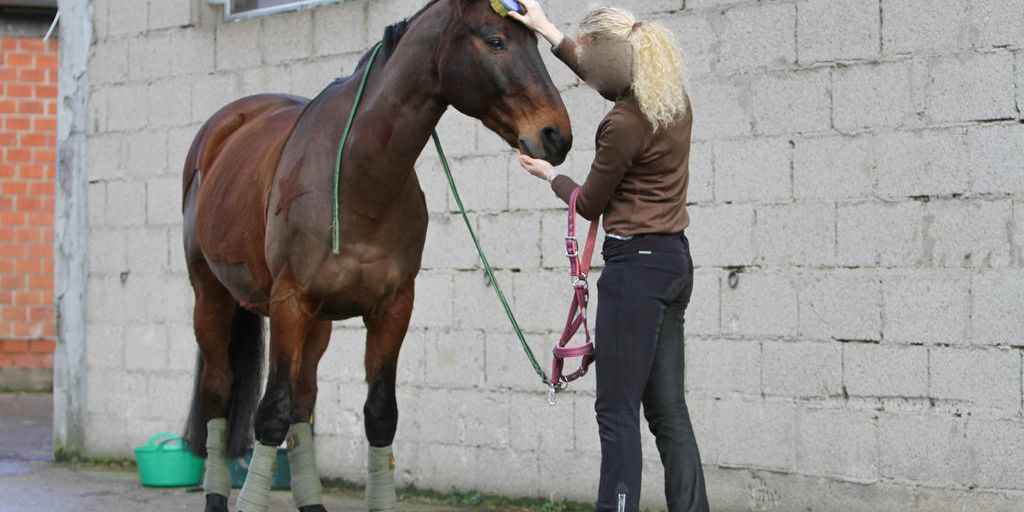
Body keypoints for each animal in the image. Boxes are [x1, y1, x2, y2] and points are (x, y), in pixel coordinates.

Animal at [181, 1, 573, 512]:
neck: (358, 175)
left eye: (536, 42)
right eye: (495, 40)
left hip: (318, 322)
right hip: (212, 298)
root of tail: (225, 126)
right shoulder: (290, 303)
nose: (557, 136)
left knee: (305, 400)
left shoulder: (393, 307)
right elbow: (271, 413)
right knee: (220, 393)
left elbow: (380, 413)